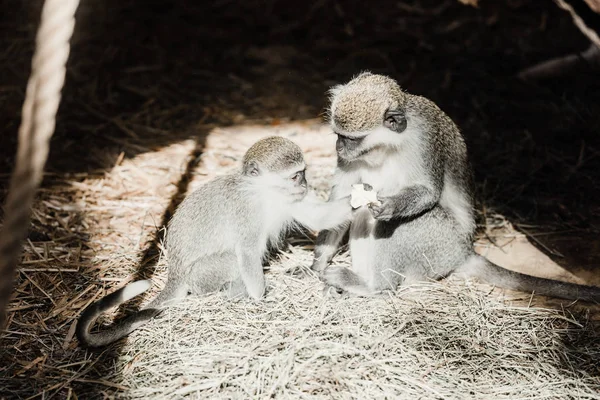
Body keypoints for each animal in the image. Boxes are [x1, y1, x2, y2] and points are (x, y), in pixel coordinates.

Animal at [77, 137, 354, 346]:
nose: (305, 185)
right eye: (296, 176)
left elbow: (320, 217)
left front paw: (362, 197)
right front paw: (259, 298)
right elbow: (247, 252)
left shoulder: (289, 199)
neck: (263, 193)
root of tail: (175, 275)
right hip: (200, 276)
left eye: (303, 174)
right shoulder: (248, 211)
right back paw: (234, 293)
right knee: (231, 260)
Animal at [312, 72, 600, 302]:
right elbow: (342, 200)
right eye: (338, 135)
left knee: (397, 223)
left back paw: (373, 286)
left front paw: (390, 205)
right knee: (361, 212)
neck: (386, 147)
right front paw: (316, 265)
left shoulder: (424, 138)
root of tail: (465, 252)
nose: (338, 147)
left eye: (352, 139)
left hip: (441, 246)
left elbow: (427, 193)